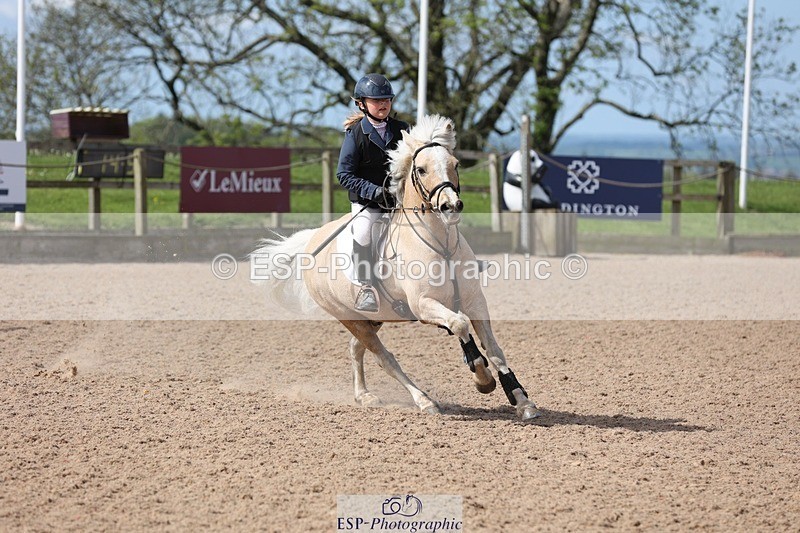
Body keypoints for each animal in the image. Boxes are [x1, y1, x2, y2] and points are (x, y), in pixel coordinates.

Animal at [251, 114, 540, 421]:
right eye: (421, 170)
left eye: (455, 164)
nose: (451, 206)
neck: (440, 242)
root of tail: (313, 240)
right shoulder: (424, 305)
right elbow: (460, 325)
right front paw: (482, 379)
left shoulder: (474, 302)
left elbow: (494, 349)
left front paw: (522, 401)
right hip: (350, 318)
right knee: (385, 358)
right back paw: (424, 401)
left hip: (372, 318)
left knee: (356, 349)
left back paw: (364, 396)